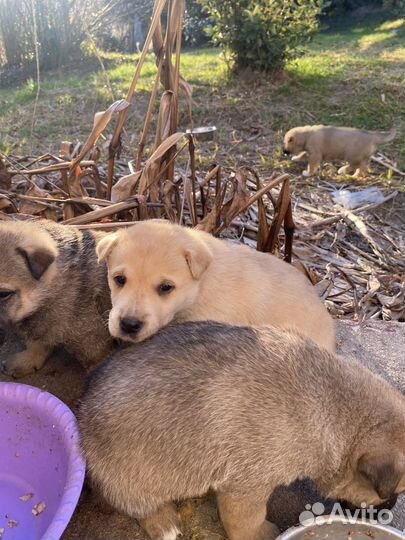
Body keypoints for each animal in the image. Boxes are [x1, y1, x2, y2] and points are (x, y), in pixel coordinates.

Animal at [79, 320, 405, 540]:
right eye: (397, 490)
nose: (388, 511)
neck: (332, 405)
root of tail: (81, 410)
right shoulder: (246, 488)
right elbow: (246, 521)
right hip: (131, 479)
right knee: (139, 504)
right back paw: (164, 523)